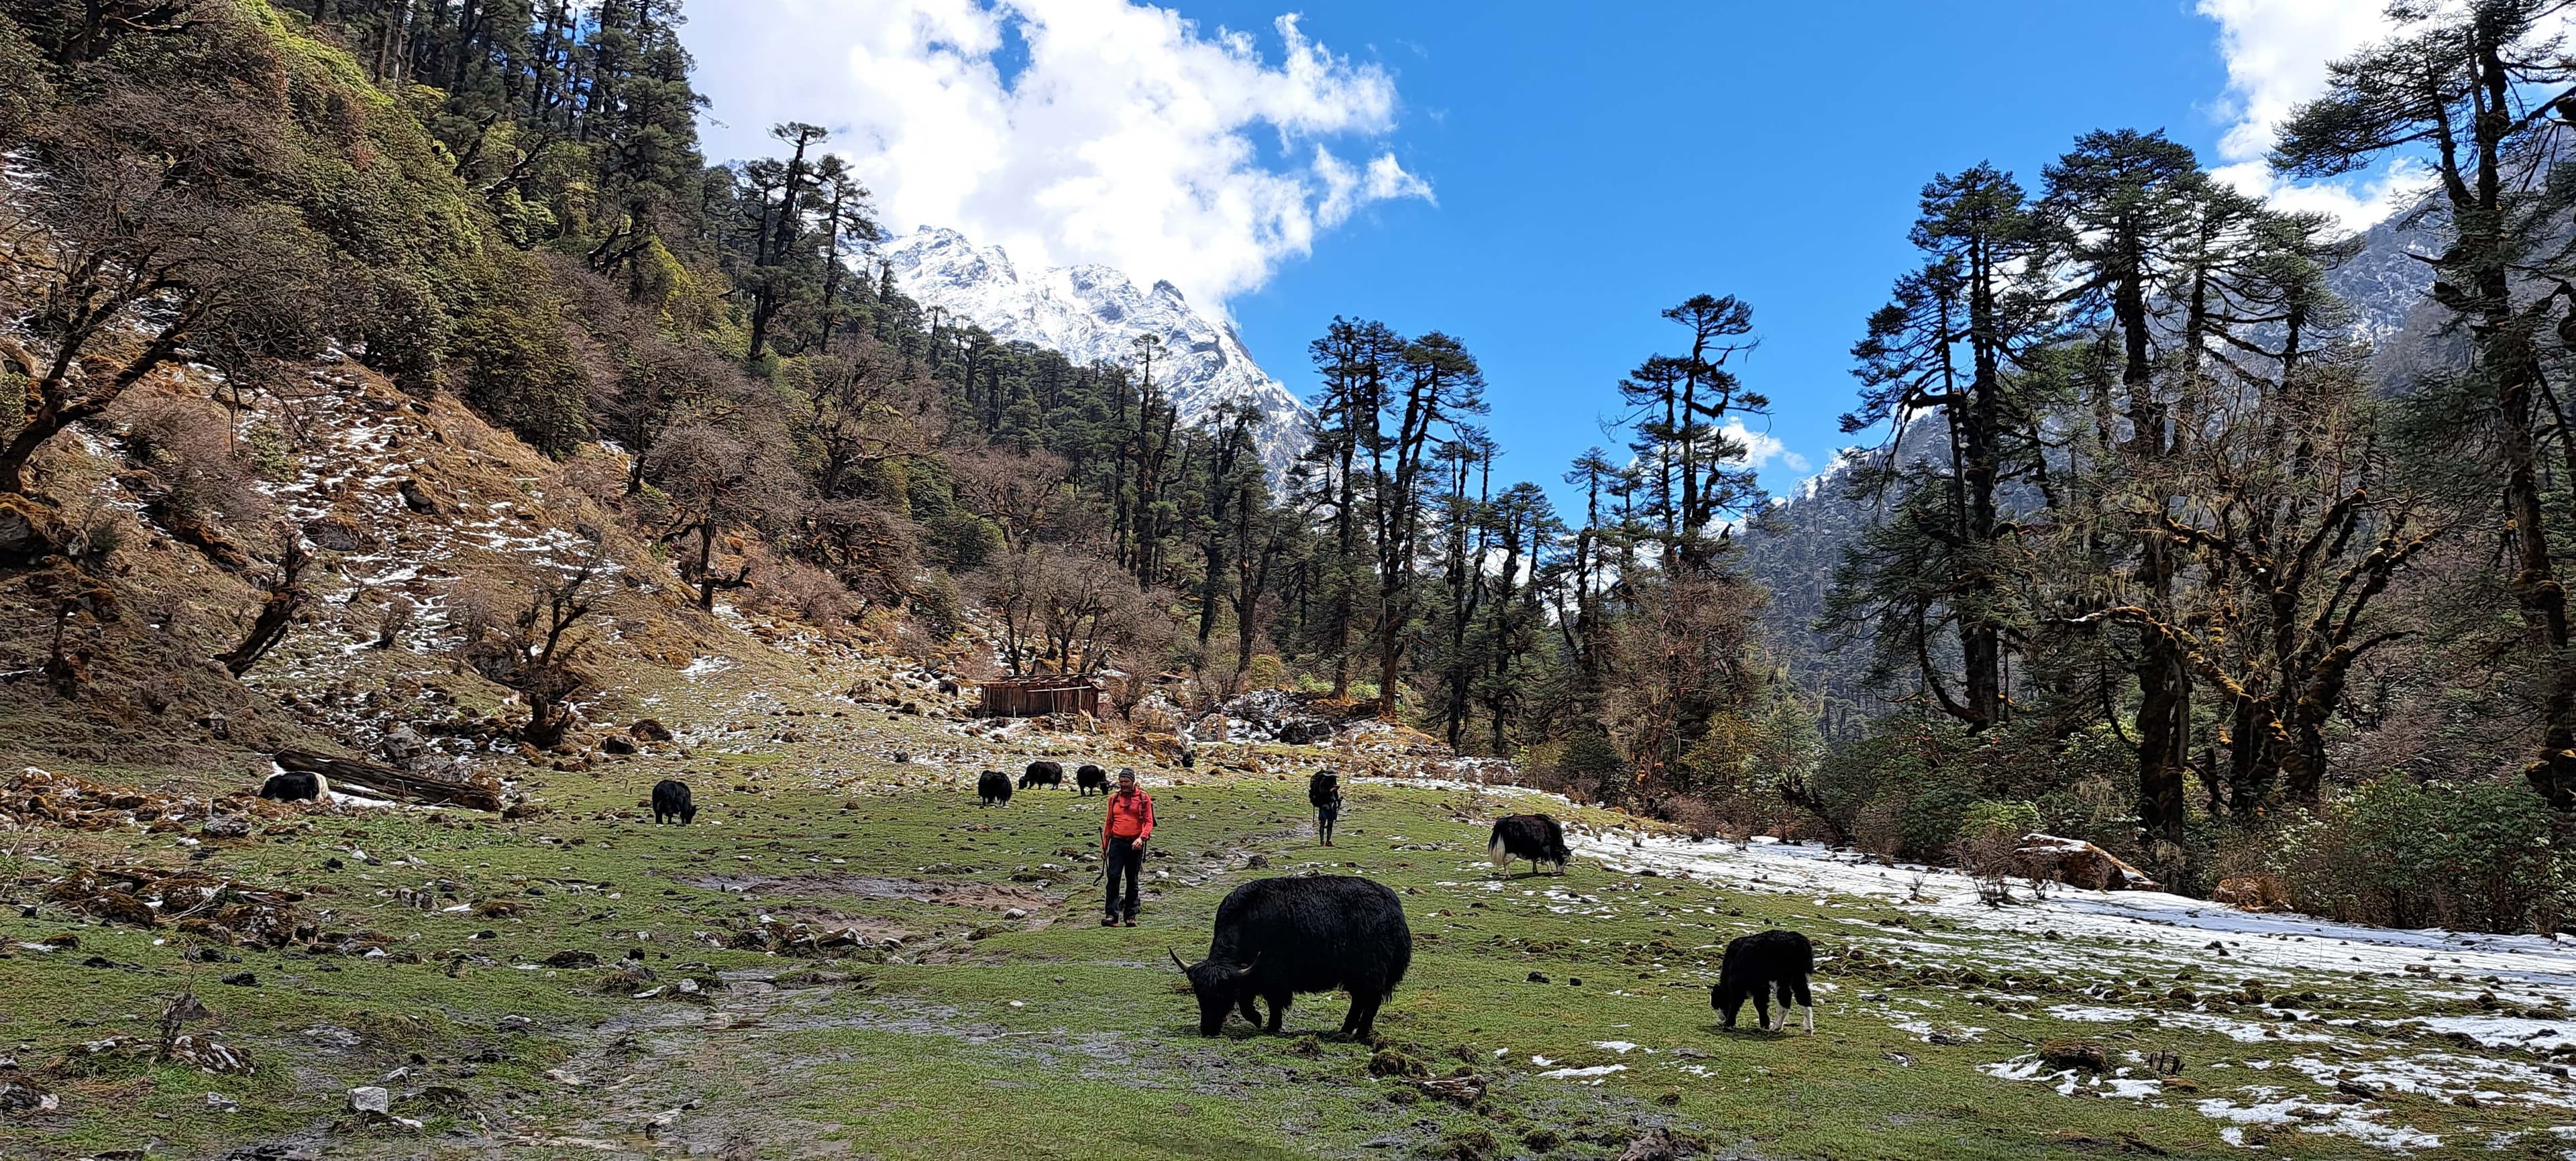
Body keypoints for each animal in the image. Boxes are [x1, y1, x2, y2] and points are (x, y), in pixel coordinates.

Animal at [1175, 875, 1411, 1040]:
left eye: (1222, 995)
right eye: (1199, 994)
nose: (1208, 1029)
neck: (1245, 922)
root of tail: (1394, 907)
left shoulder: (1271, 976)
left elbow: (1271, 1003)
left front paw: (1269, 1025)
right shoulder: (1250, 977)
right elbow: (1245, 1001)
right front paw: (1261, 1021)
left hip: (1371, 971)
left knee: (1370, 1000)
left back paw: (1360, 1033)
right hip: (1358, 974)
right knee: (1359, 1000)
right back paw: (1344, 1030)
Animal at [1721, 926, 1823, 1034]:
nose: (1721, 1021)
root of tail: (1800, 941)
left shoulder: (1739, 982)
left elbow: (1737, 1002)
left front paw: (1729, 1025)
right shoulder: (1761, 985)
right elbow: (1761, 1003)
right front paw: (1765, 1025)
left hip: (1785, 976)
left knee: (1786, 997)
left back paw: (1777, 1027)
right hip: (1796, 976)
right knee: (1802, 997)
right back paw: (1807, 1028)